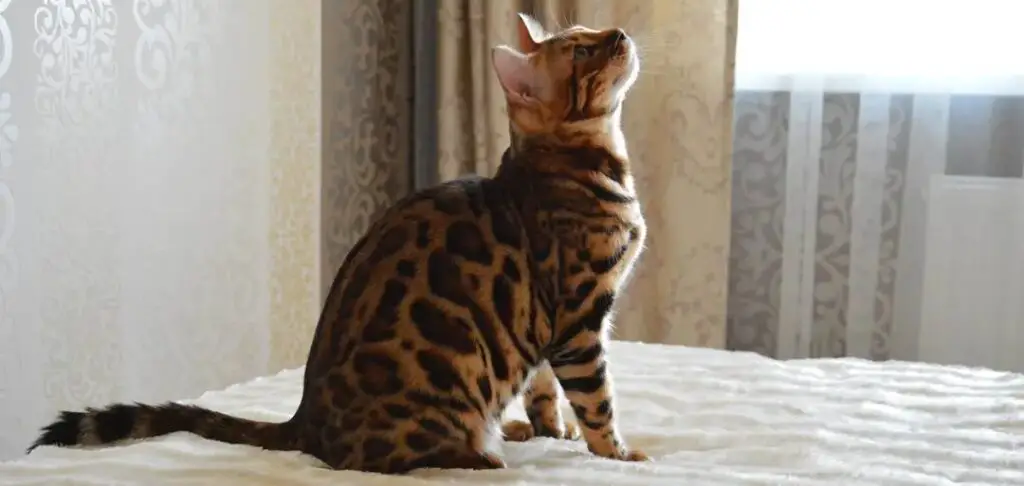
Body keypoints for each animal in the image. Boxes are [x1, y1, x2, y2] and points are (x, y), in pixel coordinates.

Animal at [28, 12, 647, 474]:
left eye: (590, 33)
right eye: (582, 53)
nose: (619, 34)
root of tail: (304, 423)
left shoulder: (548, 328)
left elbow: (544, 390)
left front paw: (554, 432)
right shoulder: (578, 320)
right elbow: (597, 399)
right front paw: (618, 453)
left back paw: (511, 429)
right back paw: (482, 454)